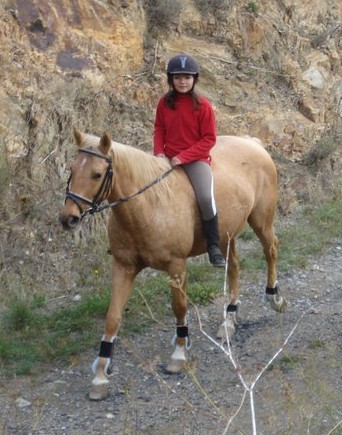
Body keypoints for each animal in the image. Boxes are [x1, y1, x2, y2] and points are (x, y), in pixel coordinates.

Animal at [58, 129, 286, 402]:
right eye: (72, 169)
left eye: (97, 174)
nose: (68, 218)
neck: (147, 205)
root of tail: (253, 143)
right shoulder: (123, 267)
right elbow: (112, 317)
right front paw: (101, 374)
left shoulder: (176, 266)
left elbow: (179, 307)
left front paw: (178, 354)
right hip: (227, 235)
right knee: (234, 267)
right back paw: (229, 320)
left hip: (261, 220)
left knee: (270, 249)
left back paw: (274, 297)